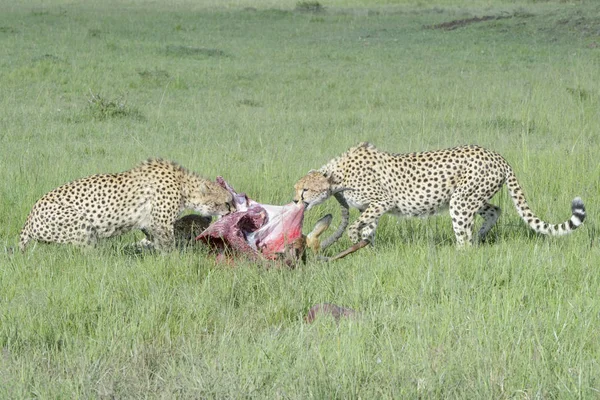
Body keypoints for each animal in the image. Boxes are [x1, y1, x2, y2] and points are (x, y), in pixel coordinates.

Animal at [18, 159, 234, 250]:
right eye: (226, 201)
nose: (231, 209)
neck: (183, 184)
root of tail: (29, 218)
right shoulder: (161, 224)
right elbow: (169, 245)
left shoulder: (150, 223)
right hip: (81, 225)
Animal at [294, 142, 584, 260]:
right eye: (297, 189)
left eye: (305, 190)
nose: (296, 201)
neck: (336, 176)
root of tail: (497, 155)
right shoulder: (371, 208)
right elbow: (369, 230)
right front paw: (368, 252)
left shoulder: (382, 202)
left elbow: (357, 226)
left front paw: (356, 241)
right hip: (470, 198)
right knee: (494, 210)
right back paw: (480, 237)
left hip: (461, 202)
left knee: (464, 238)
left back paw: (460, 253)